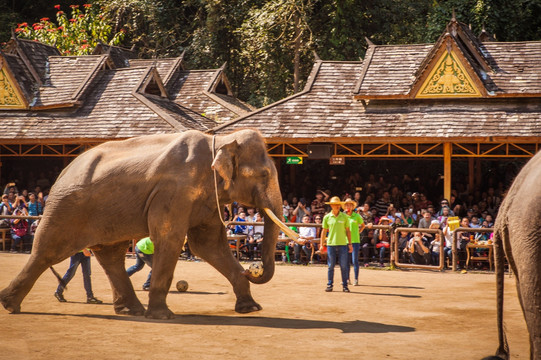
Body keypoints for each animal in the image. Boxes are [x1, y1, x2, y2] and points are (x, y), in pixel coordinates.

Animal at [0, 129, 284, 318]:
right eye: (263, 174)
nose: (252, 268)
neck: (221, 139)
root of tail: (63, 172)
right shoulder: (174, 192)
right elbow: (170, 239)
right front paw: (162, 316)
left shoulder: (206, 197)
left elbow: (208, 245)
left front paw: (250, 309)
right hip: (66, 209)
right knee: (47, 252)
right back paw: (10, 305)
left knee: (110, 255)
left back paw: (130, 310)